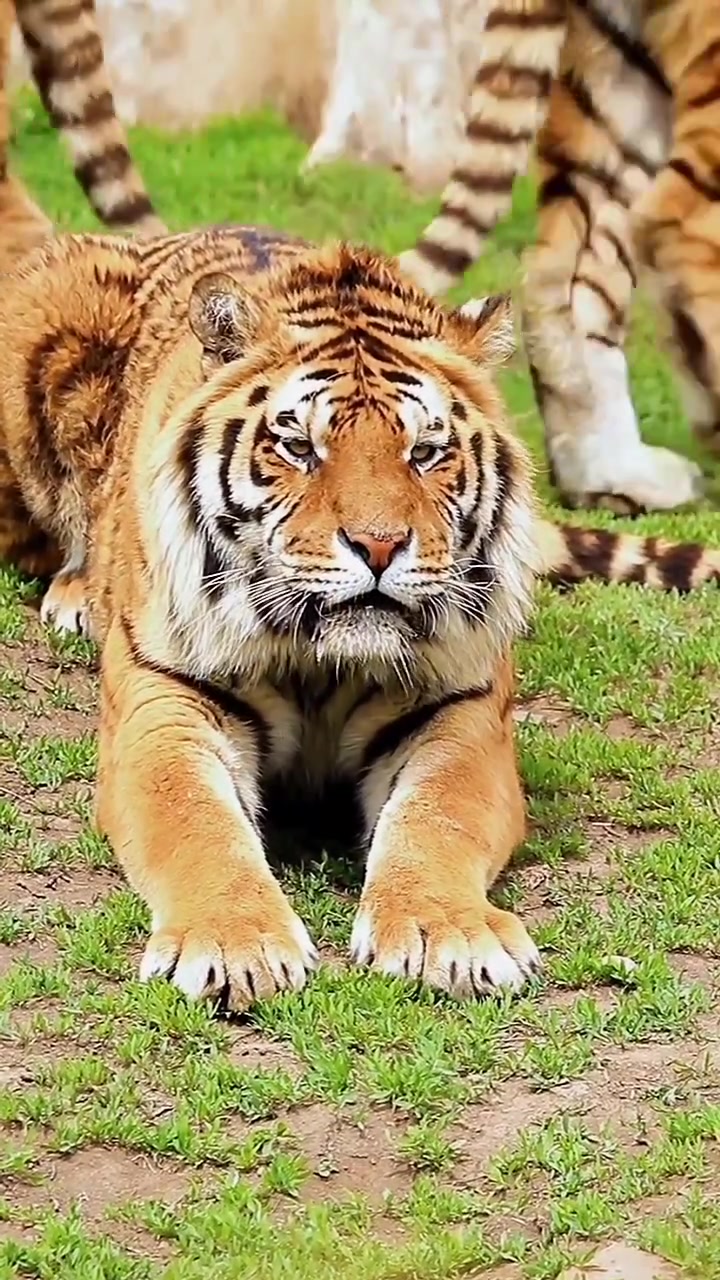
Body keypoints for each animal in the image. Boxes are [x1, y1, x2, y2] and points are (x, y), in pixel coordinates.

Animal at [0, 224, 718, 1009]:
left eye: (426, 452)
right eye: (298, 446)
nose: (378, 545)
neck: (317, 660)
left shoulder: (461, 712)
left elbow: (435, 818)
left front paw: (450, 935)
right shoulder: (165, 707)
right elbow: (197, 823)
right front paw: (234, 945)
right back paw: (77, 594)